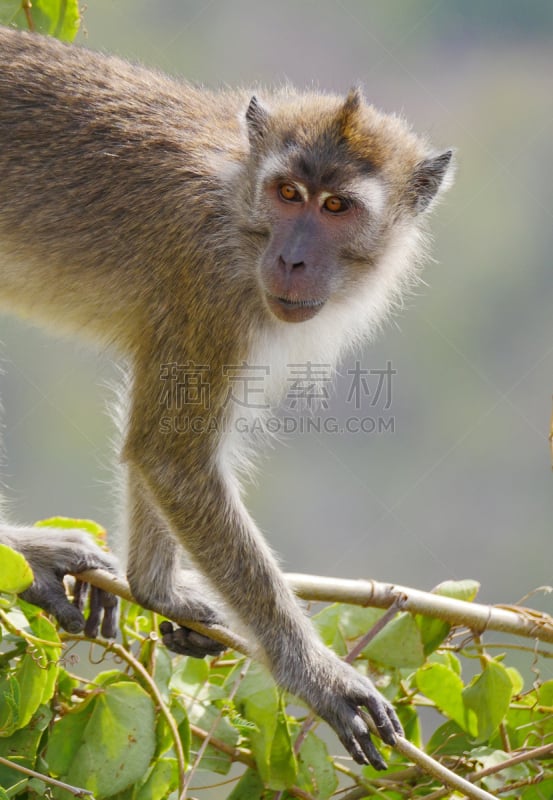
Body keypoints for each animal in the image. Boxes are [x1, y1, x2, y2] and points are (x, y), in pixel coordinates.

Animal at [0, 29, 452, 768]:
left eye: (336, 207)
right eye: (289, 192)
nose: (293, 260)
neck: (240, 207)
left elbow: (160, 447)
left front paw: (156, 590)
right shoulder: (210, 283)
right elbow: (172, 454)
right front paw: (316, 674)